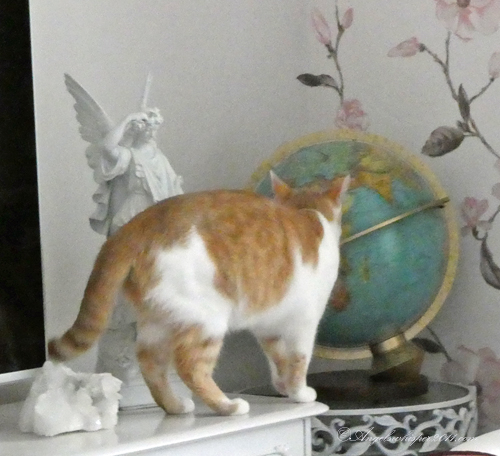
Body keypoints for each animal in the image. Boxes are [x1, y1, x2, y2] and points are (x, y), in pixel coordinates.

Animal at [48, 172, 350, 416]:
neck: (307, 210)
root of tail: (136, 225)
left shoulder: (268, 326)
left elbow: (278, 359)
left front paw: (282, 386)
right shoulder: (304, 322)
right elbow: (298, 361)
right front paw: (299, 393)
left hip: (158, 321)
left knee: (150, 364)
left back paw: (175, 406)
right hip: (207, 319)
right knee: (190, 367)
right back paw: (227, 406)